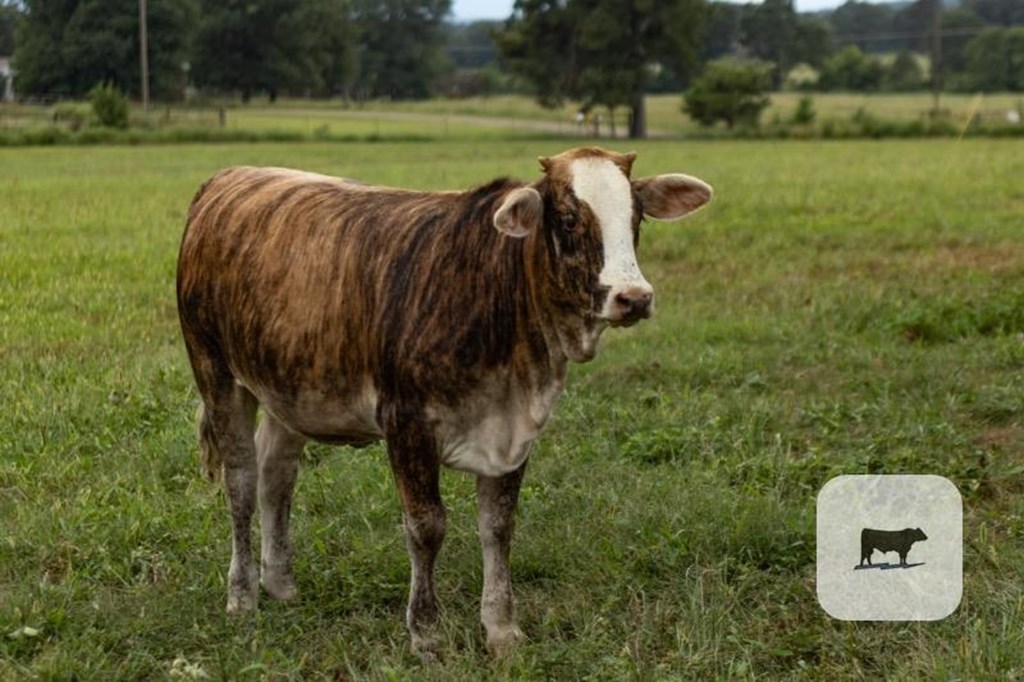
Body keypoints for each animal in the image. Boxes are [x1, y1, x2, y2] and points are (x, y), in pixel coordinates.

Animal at [176, 147, 716, 655]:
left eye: (636, 216)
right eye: (567, 218)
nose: (634, 297)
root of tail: (228, 177)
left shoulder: (513, 429)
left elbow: (497, 526)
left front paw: (501, 629)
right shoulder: (407, 423)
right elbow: (426, 526)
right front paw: (427, 633)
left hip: (290, 388)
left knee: (277, 475)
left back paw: (281, 583)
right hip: (216, 372)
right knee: (242, 481)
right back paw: (243, 595)